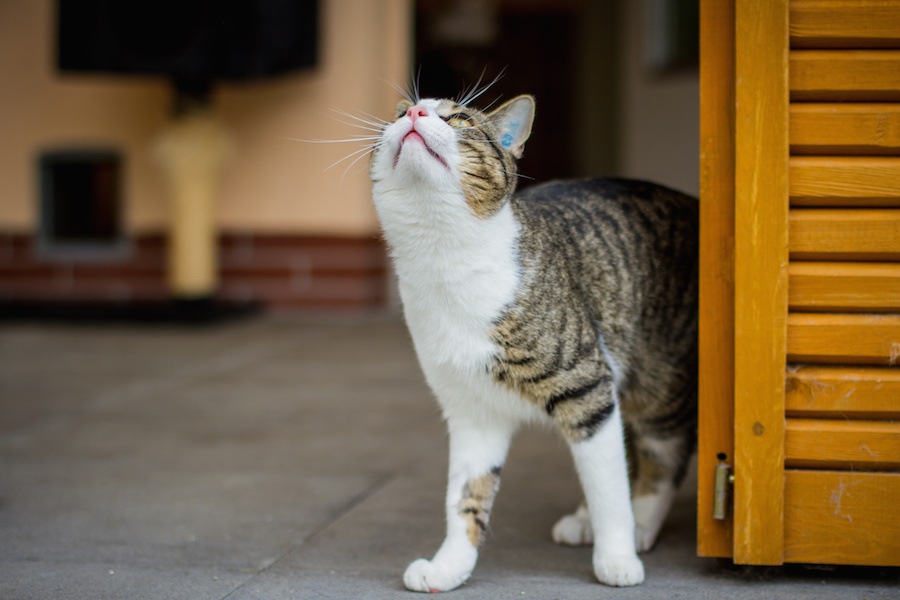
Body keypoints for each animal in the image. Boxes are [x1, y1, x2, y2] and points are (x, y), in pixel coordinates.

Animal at [366, 90, 696, 592]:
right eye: (400, 113)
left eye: (460, 119)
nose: (416, 114)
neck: (442, 258)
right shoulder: (471, 411)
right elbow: (465, 496)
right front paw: (449, 566)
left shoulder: (588, 389)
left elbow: (608, 487)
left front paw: (616, 555)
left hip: (660, 383)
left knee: (662, 456)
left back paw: (640, 524)